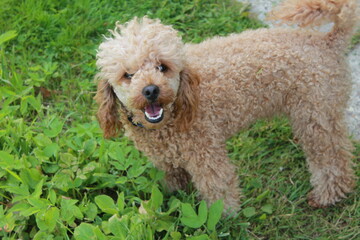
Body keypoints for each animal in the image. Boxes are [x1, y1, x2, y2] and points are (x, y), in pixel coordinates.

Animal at [95, 0, 358, 212]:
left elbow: (218, 189)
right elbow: (172, 183)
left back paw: (327, 196)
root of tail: (328, 40)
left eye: (163, 67)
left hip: (317, 115)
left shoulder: (206, 153)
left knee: (333, 159)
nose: (151, 90)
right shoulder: (165, 160)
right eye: (128, 75)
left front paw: (224, 219)